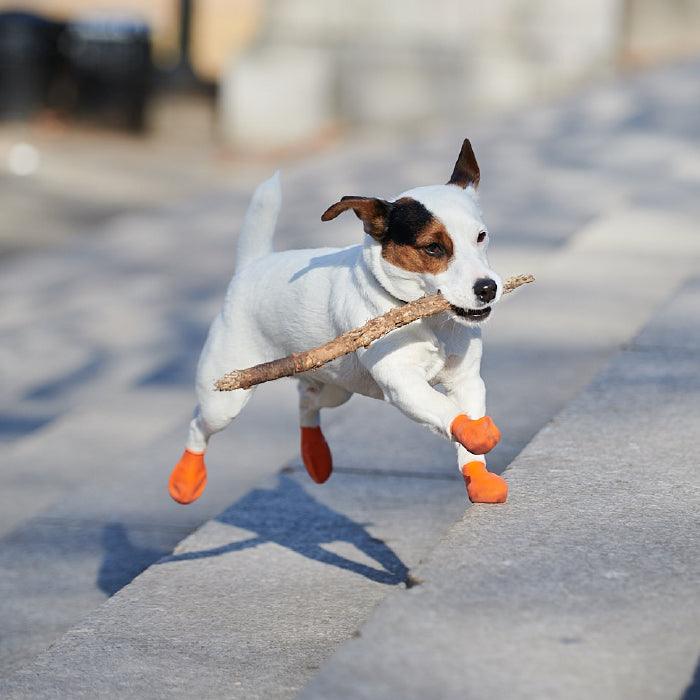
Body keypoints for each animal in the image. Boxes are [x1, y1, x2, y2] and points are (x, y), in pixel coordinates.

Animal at [170, 139, 508, 506]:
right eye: (432, 248)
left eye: (481, 236)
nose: (488, 288)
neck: (421, 315)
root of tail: (253, 264)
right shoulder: (402, 384)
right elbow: (447, 411)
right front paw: (478, 434)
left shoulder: (466, 380)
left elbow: (470, 427)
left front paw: (480, 478)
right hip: (224, 400)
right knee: (198, 425)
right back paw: (186, 480)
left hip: (336, 385)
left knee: (306, 400)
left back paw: (315, 455)